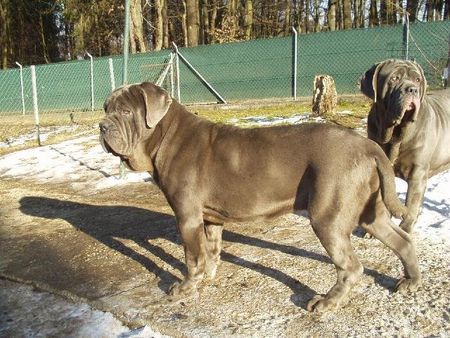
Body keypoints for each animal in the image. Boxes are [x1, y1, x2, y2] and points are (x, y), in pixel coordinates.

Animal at [100, 81, 420, 312]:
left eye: (126, 112)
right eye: (105, 108)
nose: (102, 126)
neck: (164, 136)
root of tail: (368, 146)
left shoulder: (187, 216)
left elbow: (192, 256)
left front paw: (185, 287)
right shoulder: (210, 218)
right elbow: (211, 251)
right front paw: (208, 276)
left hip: (327, 217)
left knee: (351, 267)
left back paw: (327, 302)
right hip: (370, 212)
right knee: (402, 240)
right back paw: (411, 281)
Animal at [360, 59, 450, 232]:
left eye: (417, 80)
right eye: (394, 78)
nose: (412, 89)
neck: (395, 135)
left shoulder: (417, 174)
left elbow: (411, 205)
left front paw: (405, 229)